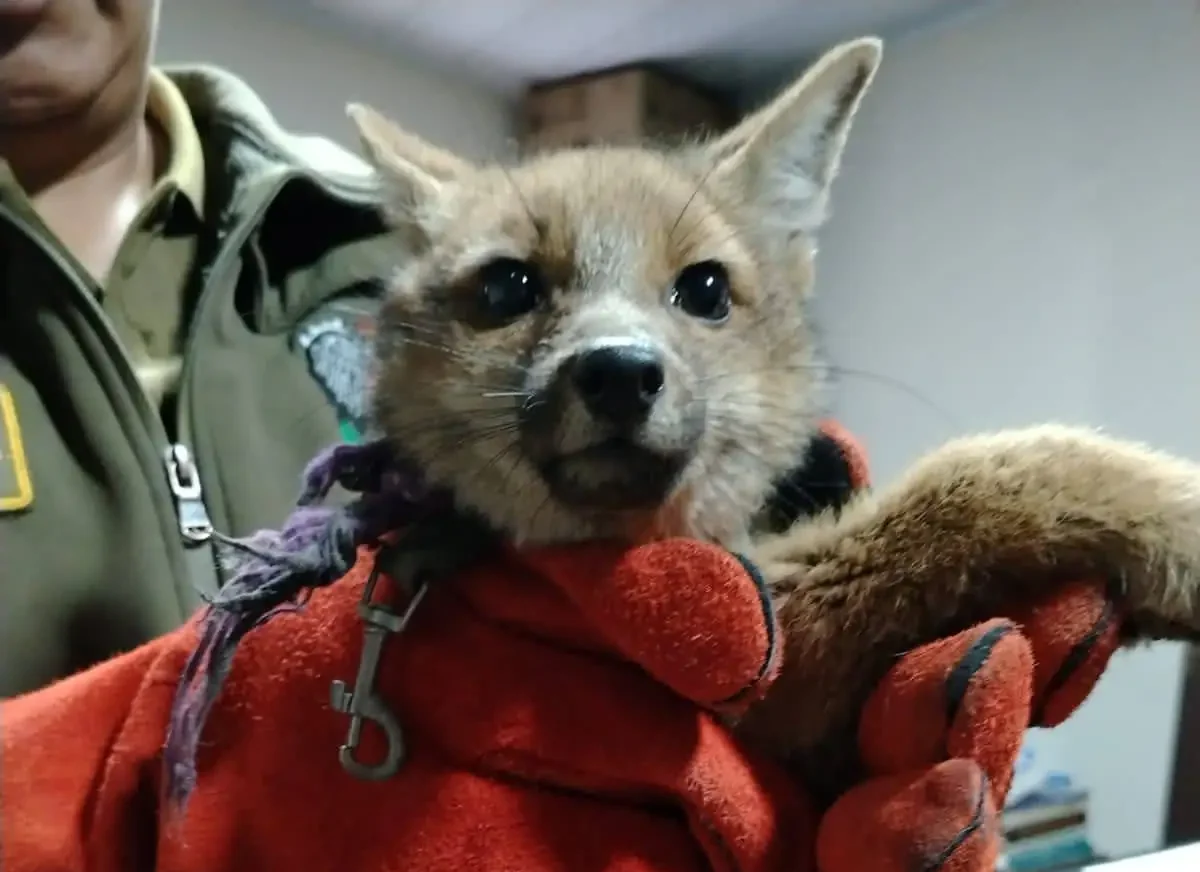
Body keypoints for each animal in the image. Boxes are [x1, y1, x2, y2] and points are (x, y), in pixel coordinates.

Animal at [346, 37, 1200, 789]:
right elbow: (988, 473)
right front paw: (1173, 519)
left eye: (705, 290)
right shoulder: (768, 655)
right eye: (507, 288)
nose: (620, 372)